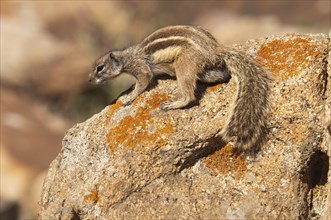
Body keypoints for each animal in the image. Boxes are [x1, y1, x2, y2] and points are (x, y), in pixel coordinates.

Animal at [90, 24, 272, 152]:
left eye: (100, 68)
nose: (90, 79)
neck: (126, 56)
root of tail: (214, 49)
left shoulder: (140, 67)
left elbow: (143, 81)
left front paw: (130, 97)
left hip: (184, 64)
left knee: (189, 96)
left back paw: (172, 104)